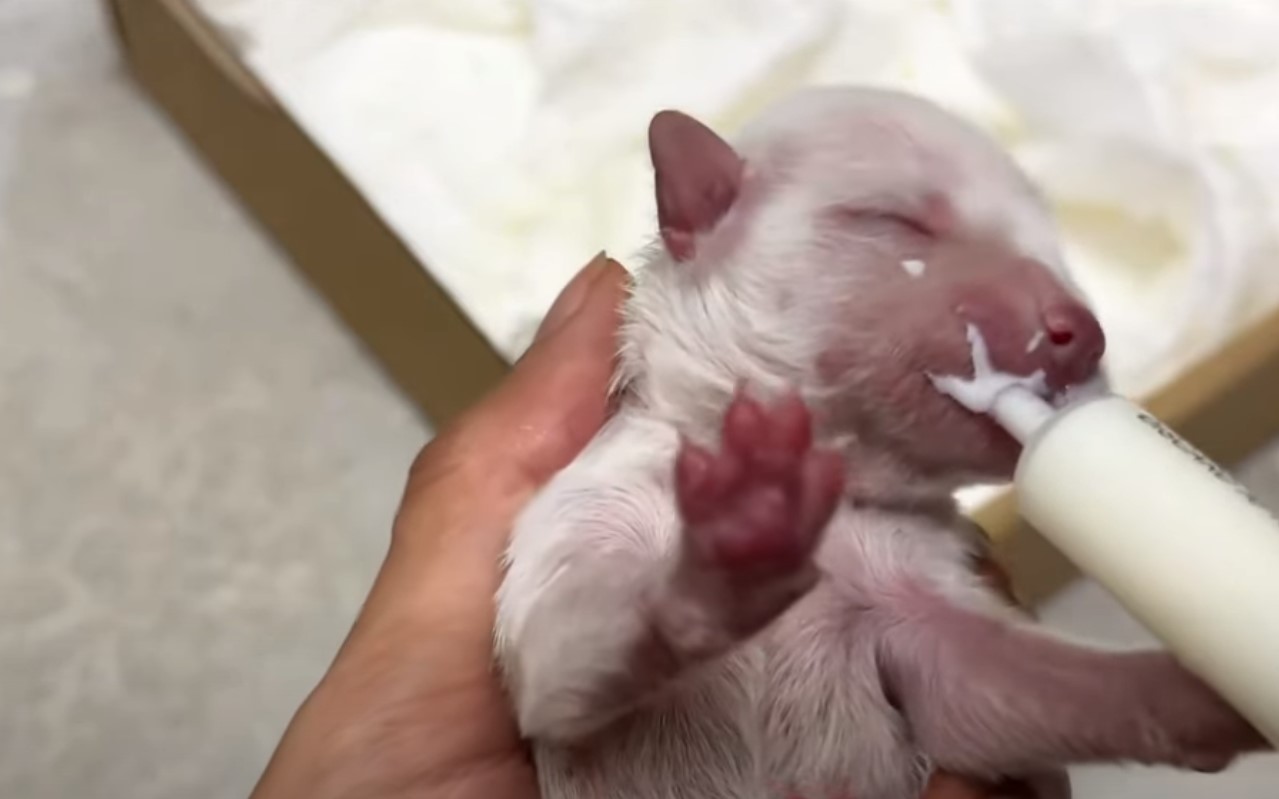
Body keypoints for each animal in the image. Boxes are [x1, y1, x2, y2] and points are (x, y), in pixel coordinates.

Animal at [488, 86, 1258, 797]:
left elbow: (995, 682)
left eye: (1055, 247)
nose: (1082, 332)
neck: (838, 490)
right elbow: (561, 654)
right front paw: (735, 536)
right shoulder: (586, 522)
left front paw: (1205, 692)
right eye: (895, 220)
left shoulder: (917, 599)